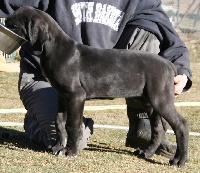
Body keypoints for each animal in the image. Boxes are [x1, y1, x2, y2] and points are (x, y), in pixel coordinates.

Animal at [5, 6, 188, 167]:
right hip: (148, 100)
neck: (54, 48)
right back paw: (146, 153)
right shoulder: (62, 96)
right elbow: (59, 122)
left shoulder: (76, 96)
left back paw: (179, 160)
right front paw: (58, 146)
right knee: (159, 128)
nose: (4, 26)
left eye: (14, 26)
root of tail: (169, 65)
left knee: (181, 124)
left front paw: (70, 151)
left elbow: (72, 125)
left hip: (160, 99)